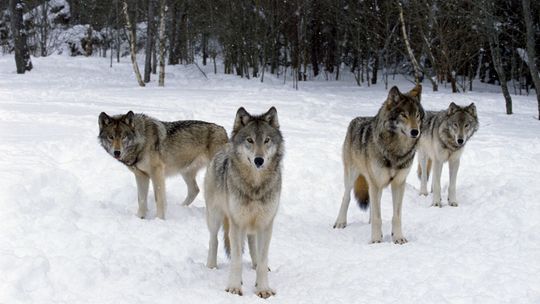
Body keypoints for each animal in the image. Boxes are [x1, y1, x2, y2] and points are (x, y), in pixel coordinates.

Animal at [98, 111, 227, 218]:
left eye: (123, 137)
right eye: (111, 137)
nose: (117, 152)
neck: (142, 141)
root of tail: (223, 130)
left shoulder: (157, 173)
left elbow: (159, 199)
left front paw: (159, 219)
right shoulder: (141, 176)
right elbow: (141, 199)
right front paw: (140, 218)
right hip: (185, 172)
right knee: (194, 190)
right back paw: (181, 208)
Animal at [205, 107, 284, 300]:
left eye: (266, 140)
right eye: (250, 140)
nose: (259, 160)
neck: (255, 186)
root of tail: (225, 146)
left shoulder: (266, 224)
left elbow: (262, 260)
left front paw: (263, 289)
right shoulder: (237, 224)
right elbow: (236, 260)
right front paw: (234, 287)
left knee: (252, 243)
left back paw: (254, 266)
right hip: (216, 216)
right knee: (214, 240)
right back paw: (211, 266)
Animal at [332, 85, 424, 245]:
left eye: (417, 115)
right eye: (404, 115)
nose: (415, 132)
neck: (396, 151)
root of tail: (356, 119)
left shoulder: (398, 183)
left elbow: (396, 216)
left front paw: (398, 238)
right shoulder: (375, 182)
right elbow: (377, 217)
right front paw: (375, 240)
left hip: (376, 185)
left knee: (374, 204)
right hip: (353, 176)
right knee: (346, 197)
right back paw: (340, 222)